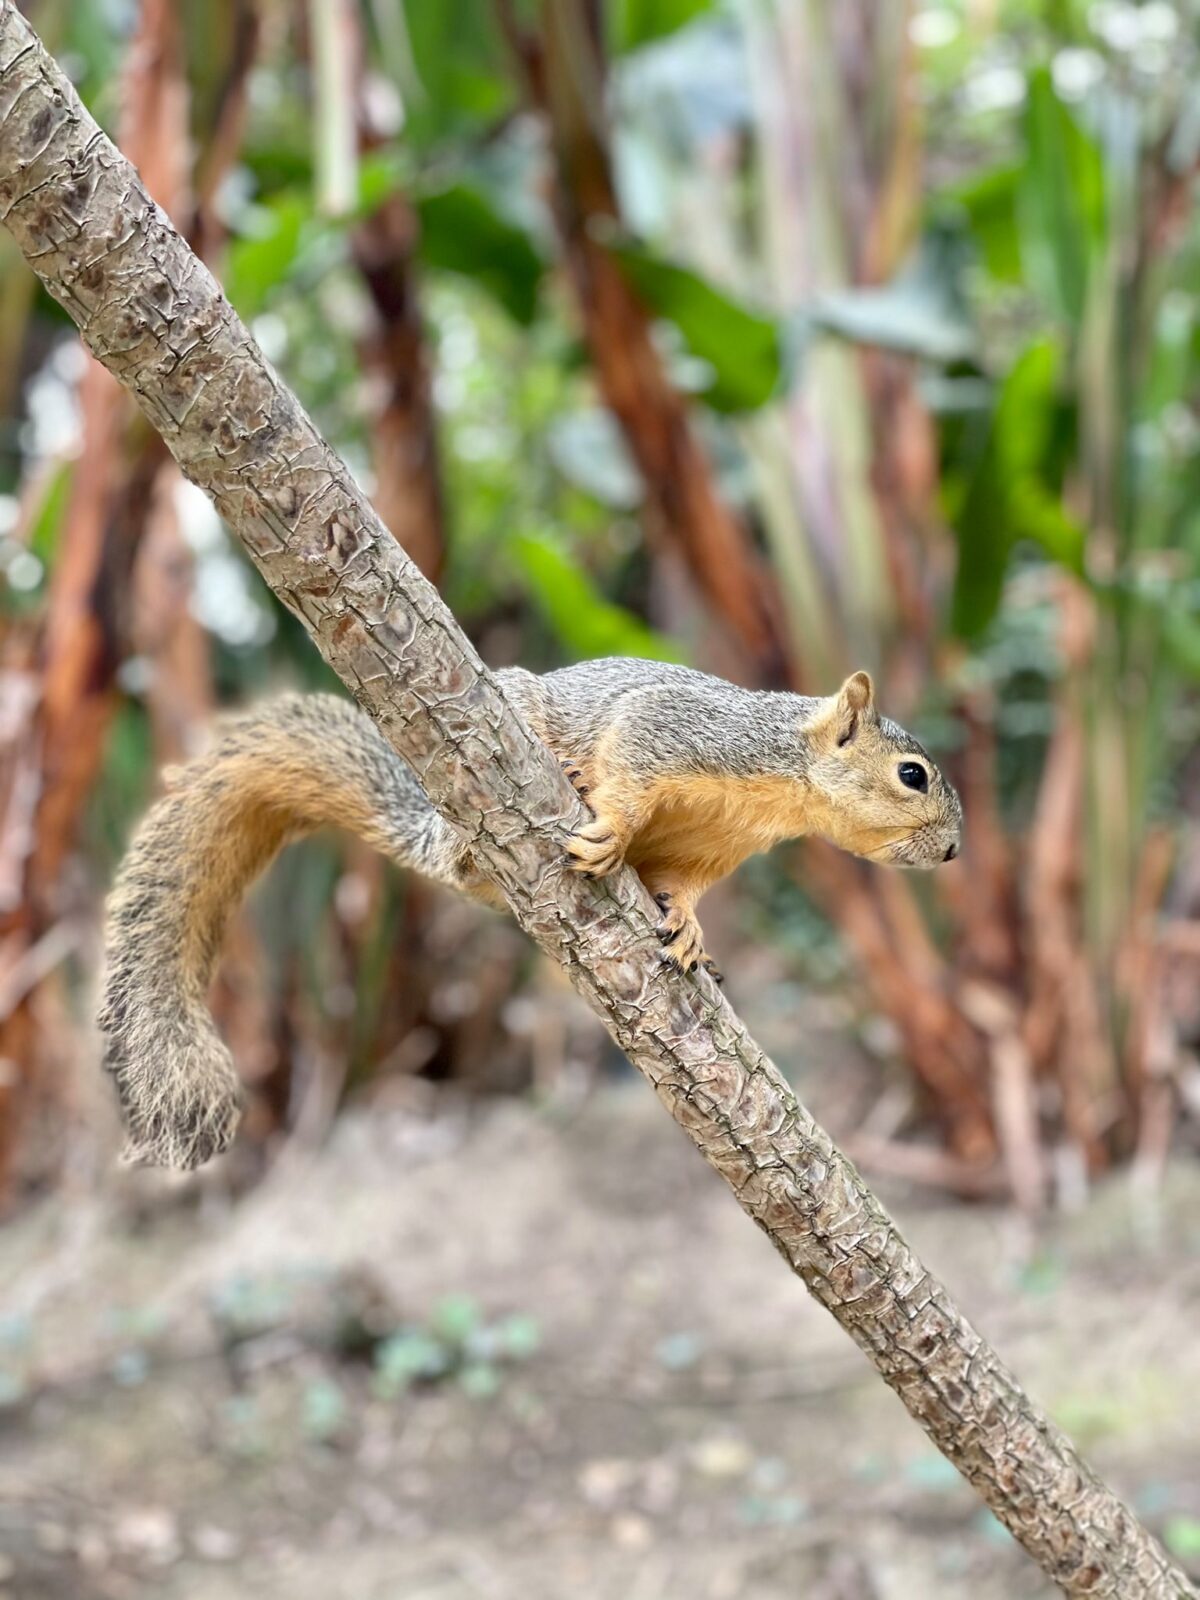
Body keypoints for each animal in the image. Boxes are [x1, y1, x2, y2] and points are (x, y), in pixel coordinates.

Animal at [101, 656, 966, 1171]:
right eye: (913, 775)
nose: (957, 852)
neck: (782, 785)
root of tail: (432, 831)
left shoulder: (710, 850)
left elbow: (682, 886)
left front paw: (690, 928)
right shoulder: (675, 731)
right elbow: (629, 772)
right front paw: (609, 825)